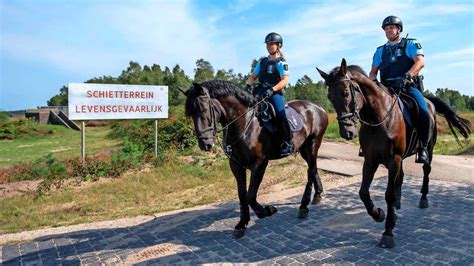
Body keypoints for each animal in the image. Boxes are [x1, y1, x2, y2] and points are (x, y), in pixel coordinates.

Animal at [183, 80, 328, 238]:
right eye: (190, 113)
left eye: (203, 110)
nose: (205, 144)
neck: (244, 124)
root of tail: (318, 107)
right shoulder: (236, 165)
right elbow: (242, 195)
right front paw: (241, 224)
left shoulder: (259, 164)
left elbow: (250, 195)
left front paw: (266, 211)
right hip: (303, 148)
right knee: (313, 168)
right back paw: (317, 195)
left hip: (313, 143)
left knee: (311, 170)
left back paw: (304, 206)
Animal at [316, 59, 468, 248]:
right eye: (330, 96)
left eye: (345, 92)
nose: (346, 132)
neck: (378, 117)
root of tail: (429, 102)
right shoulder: (371, 160)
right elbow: (363, 192)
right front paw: (379, 214)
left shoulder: (393, 159)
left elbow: (388, 194)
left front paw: (388, 232)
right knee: (400, 178)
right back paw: (397, 206)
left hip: (428, 150)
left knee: (426, 171)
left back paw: (423, 199)